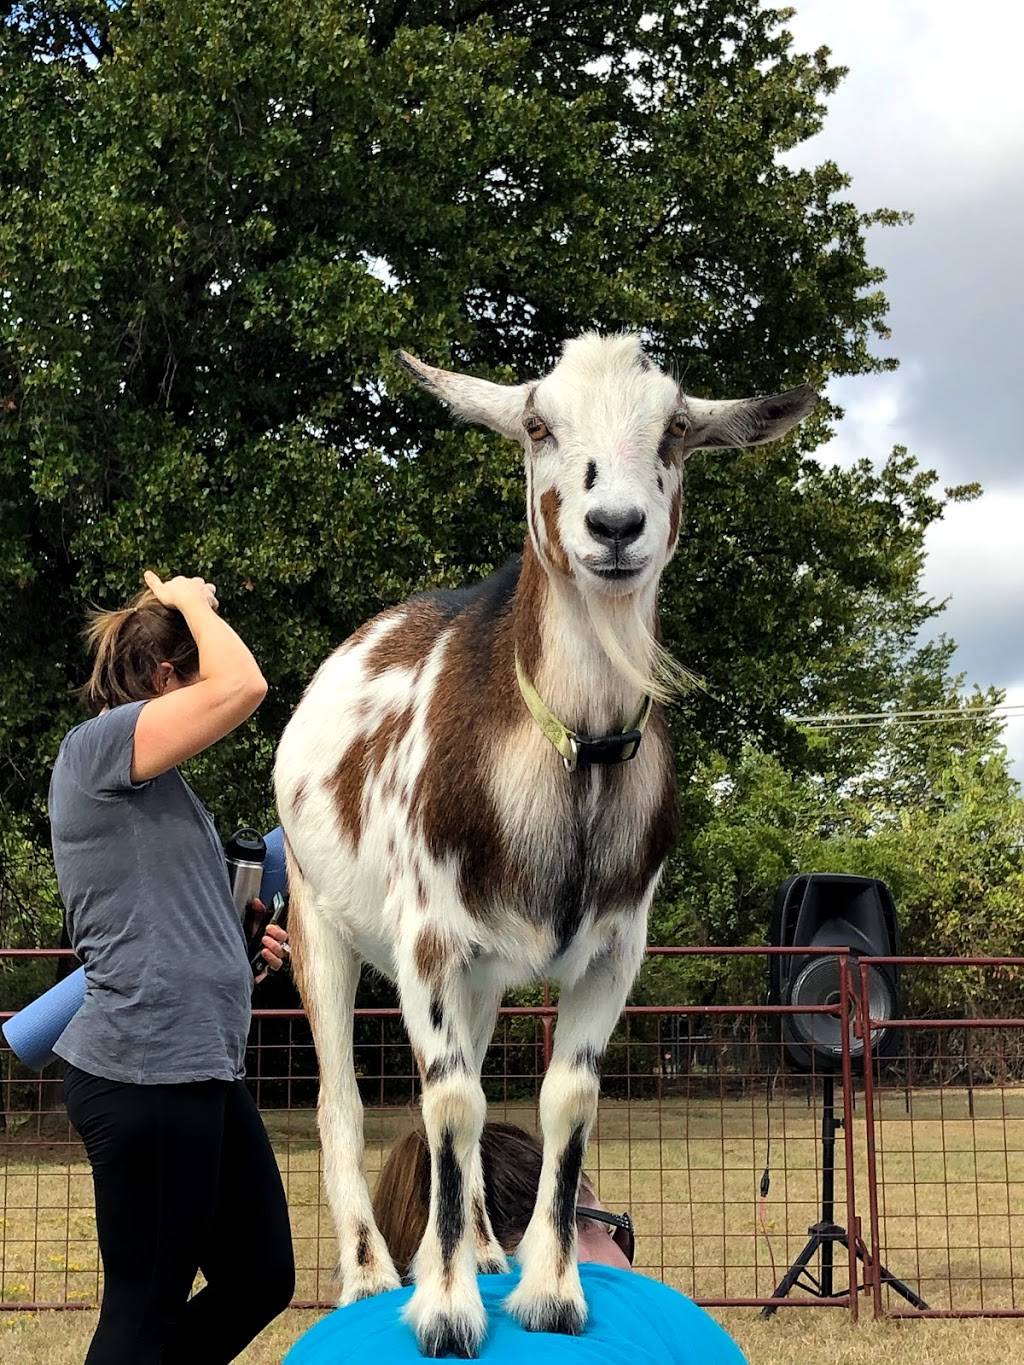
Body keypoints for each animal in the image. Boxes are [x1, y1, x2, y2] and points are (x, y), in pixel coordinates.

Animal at [274, 333, 819, 1354]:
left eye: (676, 428)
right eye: (536, 424)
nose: (615, 525)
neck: (572, 755)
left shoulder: (613, 951)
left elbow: (563, 1100)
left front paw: (549, 1291)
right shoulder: (428, 941)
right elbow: (449, 1102)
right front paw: (446, 1312)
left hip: (481, 984)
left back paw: (485, 1249)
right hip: (317, 917)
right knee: (345, 1098)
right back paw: (370, 1272)